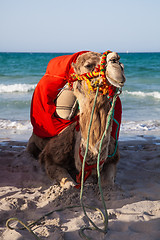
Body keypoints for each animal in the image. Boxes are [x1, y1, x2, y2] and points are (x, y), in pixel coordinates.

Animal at [26, 51, 125, 188]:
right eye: (88, 65)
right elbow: (69, 184)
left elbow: (108, 183)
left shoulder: (112, 157)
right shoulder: (50, 158)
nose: (116, 60)